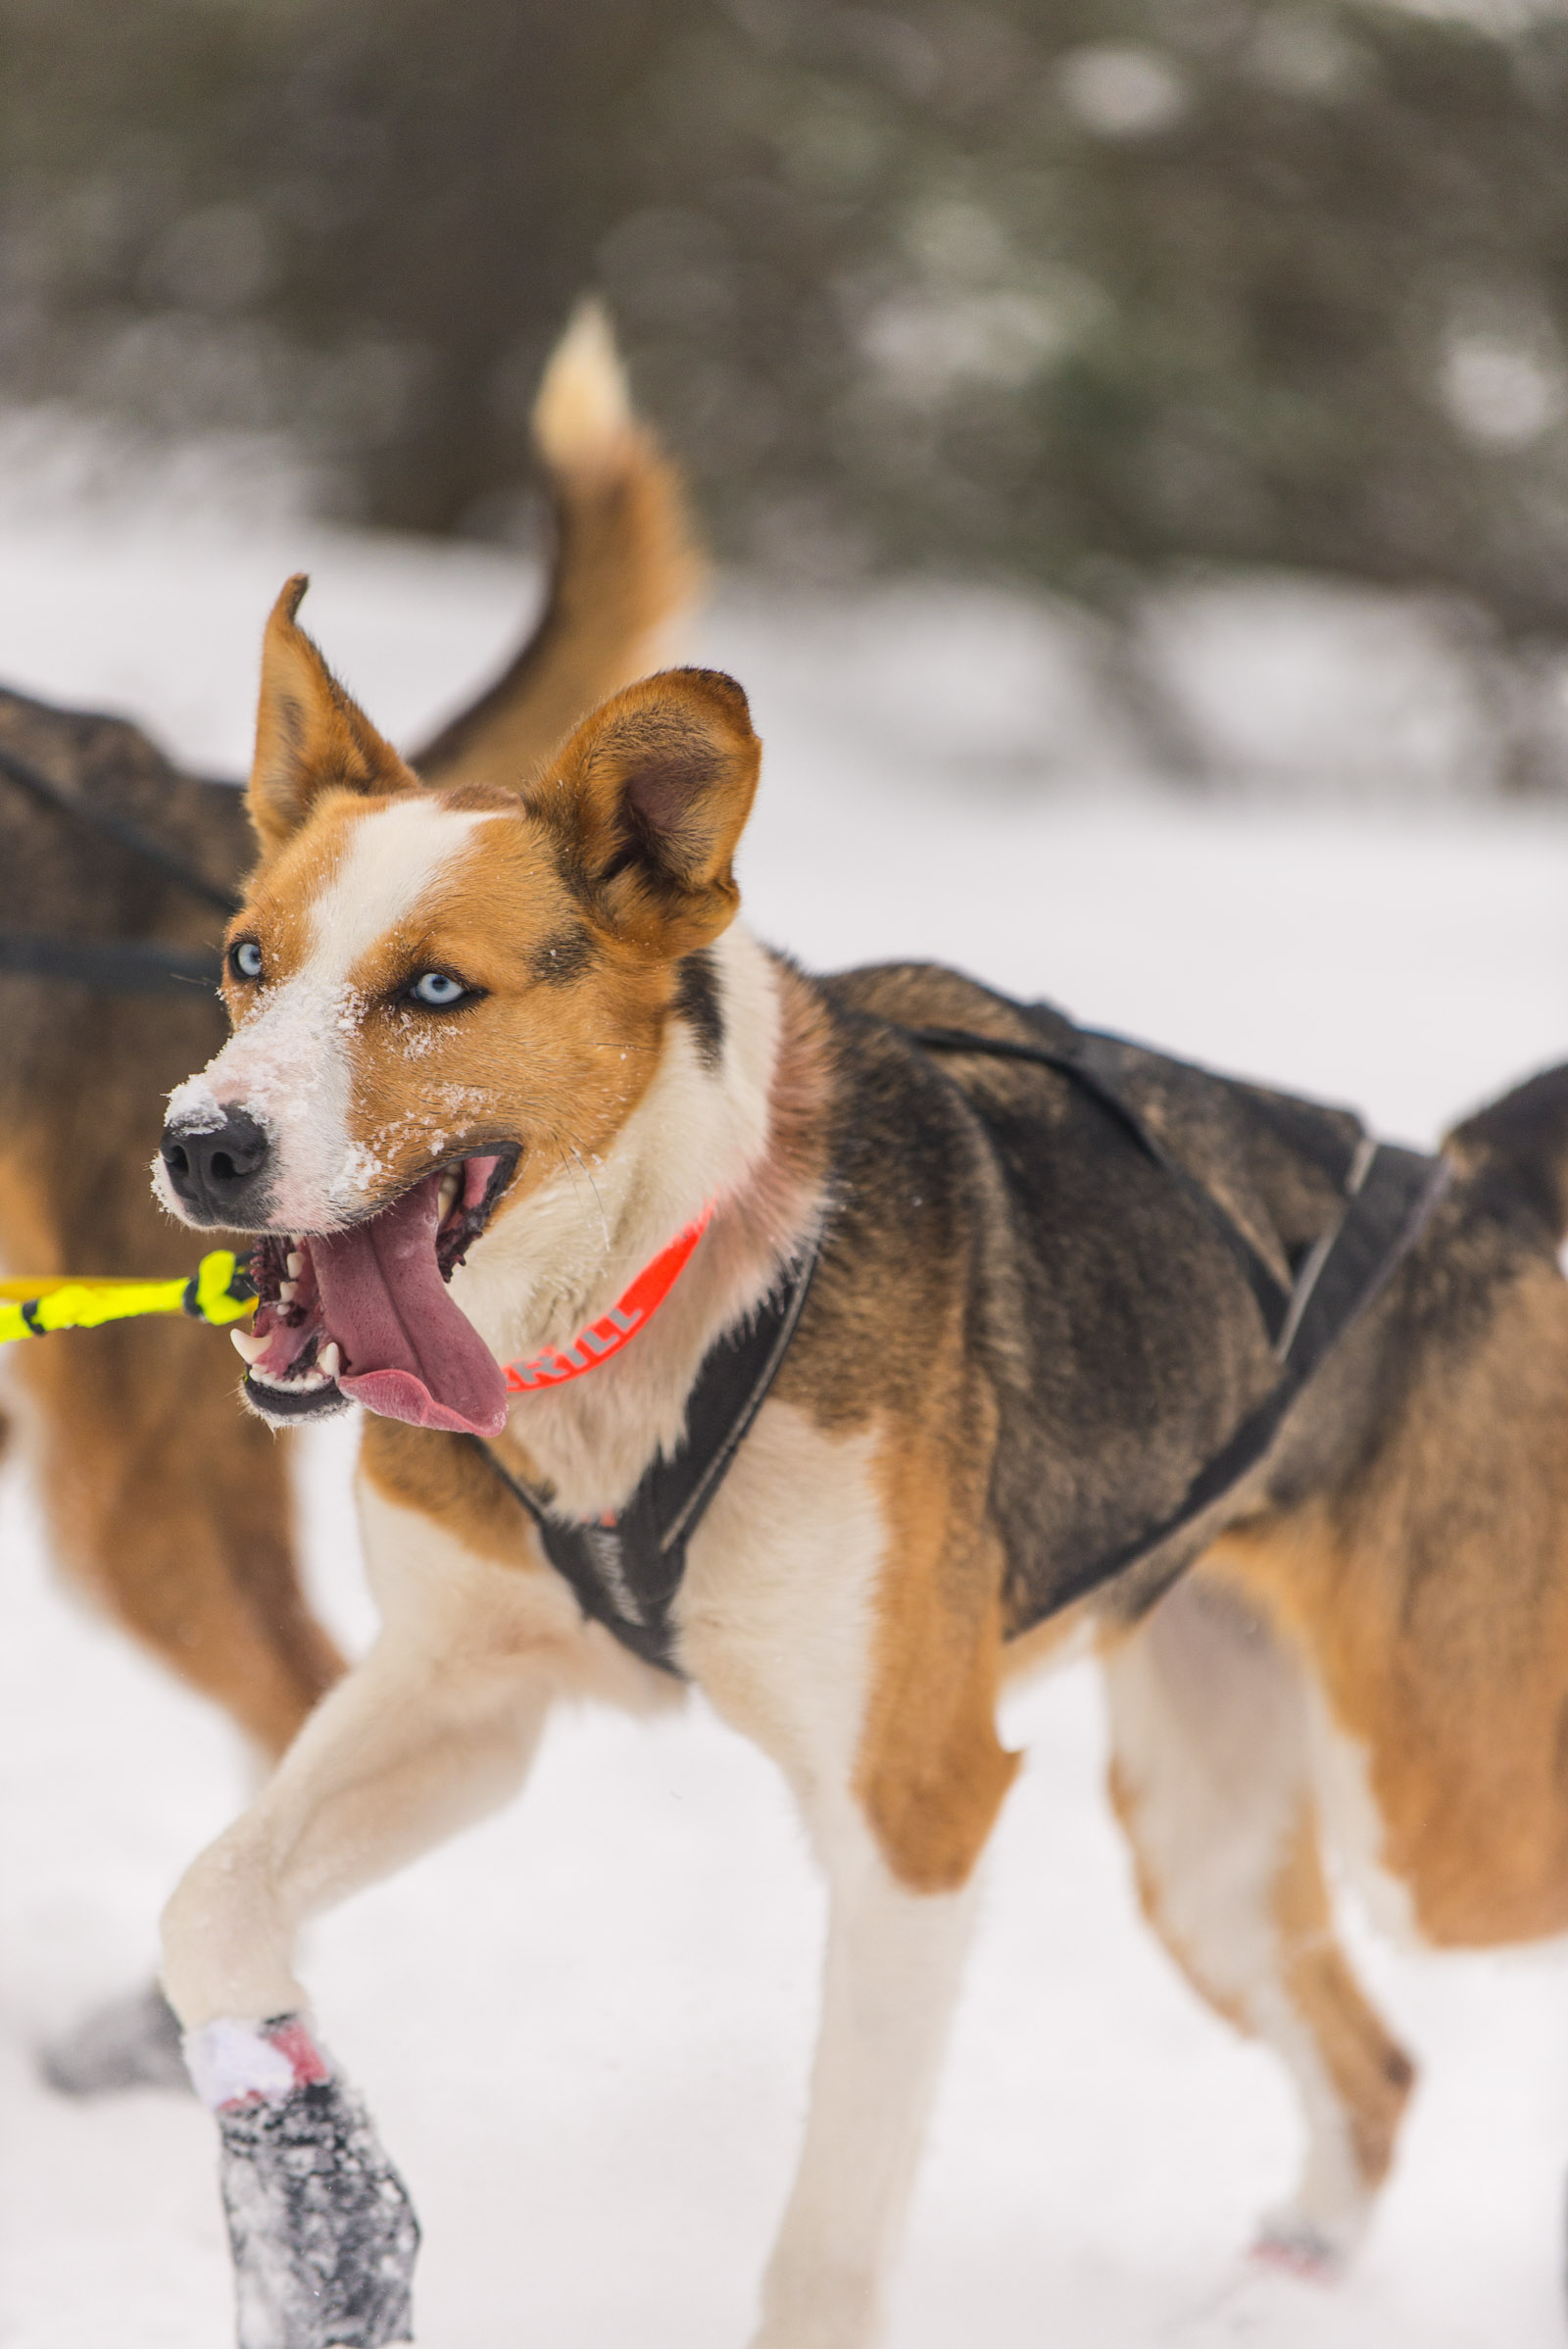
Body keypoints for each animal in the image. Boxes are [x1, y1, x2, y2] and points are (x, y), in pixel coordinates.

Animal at [152, 559, 1568, 2339]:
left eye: (435, 989)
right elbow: (207, 1906)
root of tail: (1479, 1187)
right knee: (1374, 2068)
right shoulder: (465, 1700)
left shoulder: (914, 1811)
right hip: (1209, 1837)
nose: (199, 1144)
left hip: (1437, 1814)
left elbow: (828, 2239)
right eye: (246, 958)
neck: (647, 1299)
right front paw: (317, 2210)